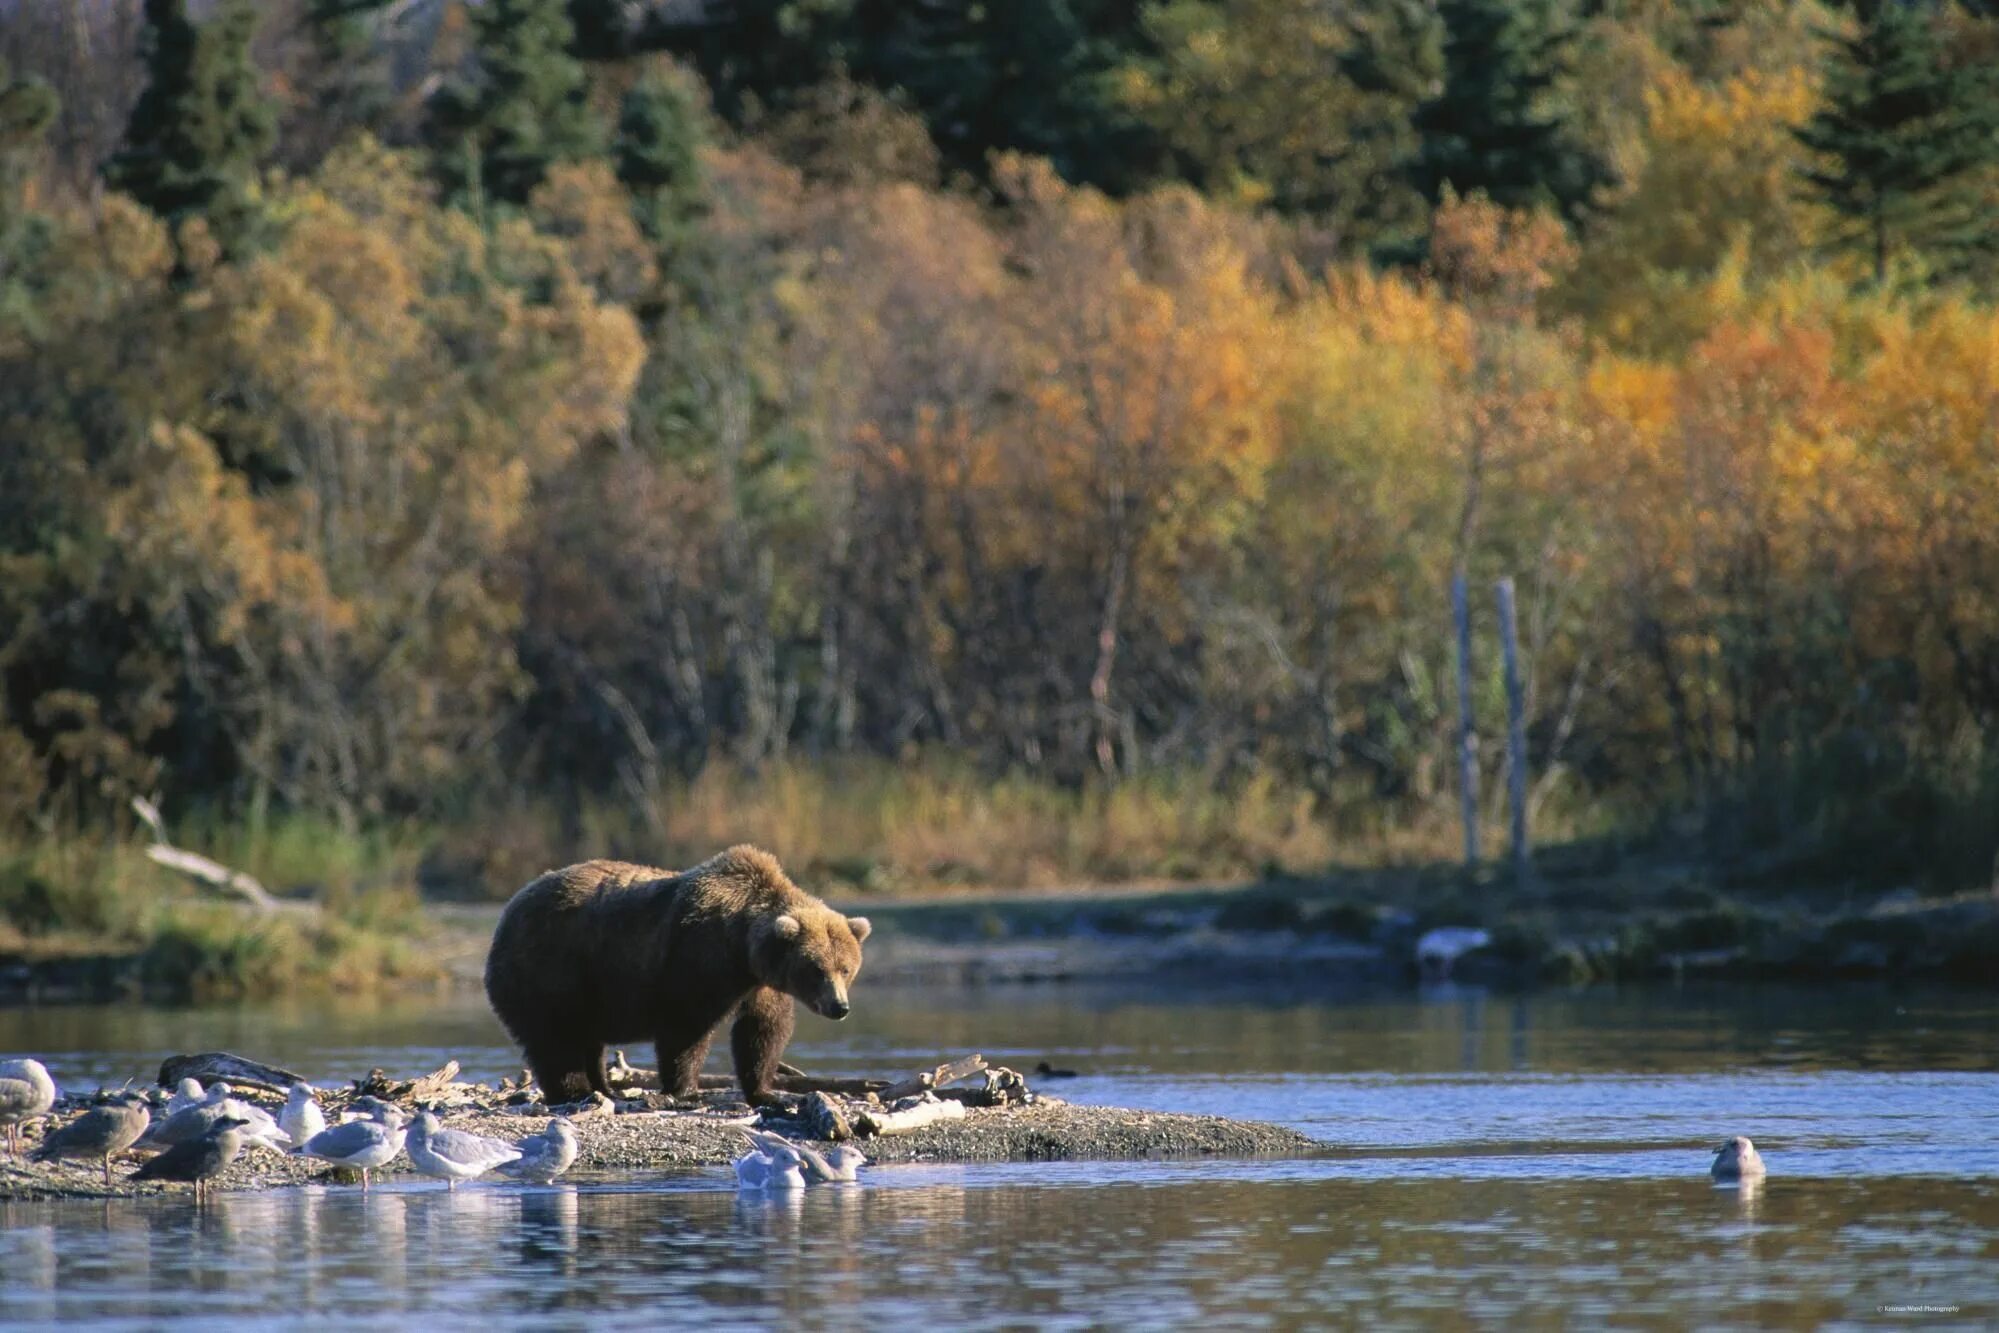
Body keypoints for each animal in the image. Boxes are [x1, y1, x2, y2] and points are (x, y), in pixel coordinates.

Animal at [481, 855, 867, 1103]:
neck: (742, 946)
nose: (839, 1006)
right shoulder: (695, 958)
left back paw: (605, 1087)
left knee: (586, 1037)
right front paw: (685, 1090)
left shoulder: (760, 983)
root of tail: (508, 910)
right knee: (555, 1035)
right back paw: (576, 1090)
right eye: (816, 969)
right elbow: (686, 1029)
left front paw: (765, 1091)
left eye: (846, 968)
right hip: (549, 967)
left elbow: (764, 1029)